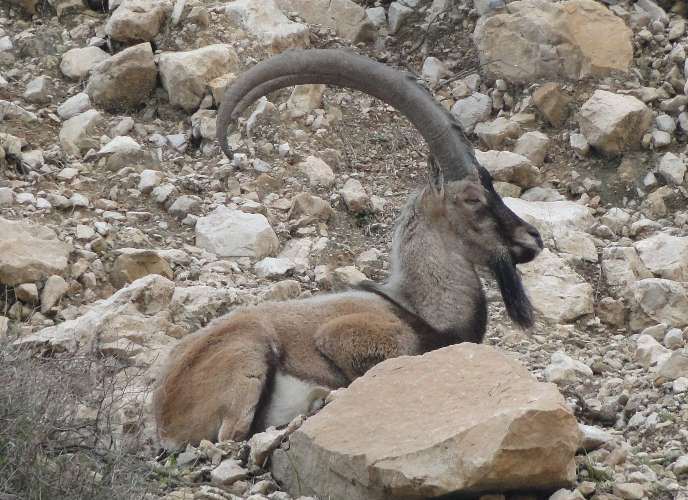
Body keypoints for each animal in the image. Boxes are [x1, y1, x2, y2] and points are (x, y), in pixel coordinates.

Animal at [153, 49, 544, 450]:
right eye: (472, 198)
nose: (532, 238)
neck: (419, 308)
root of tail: (164, 415)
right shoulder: (352, 337)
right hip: (250, 352)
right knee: (232, 435)